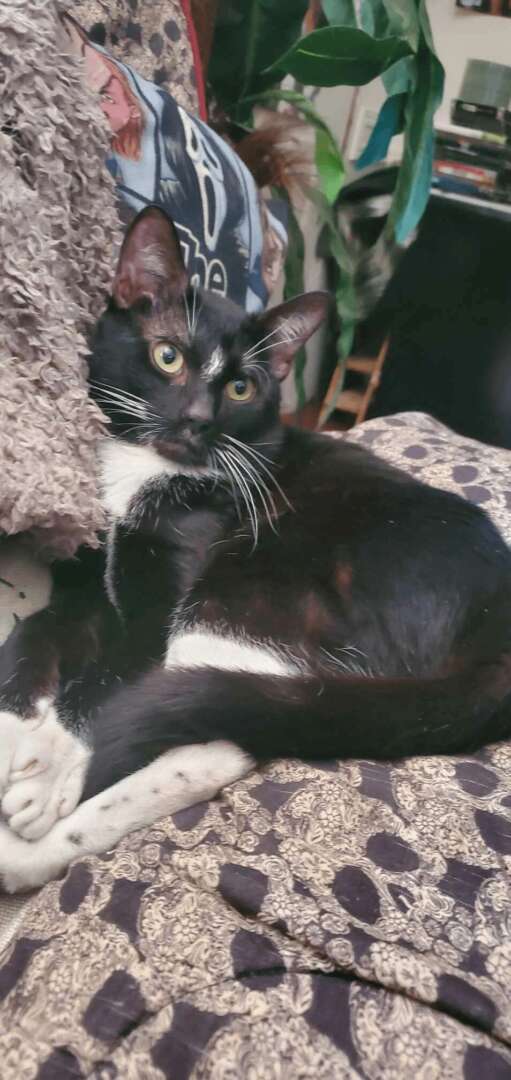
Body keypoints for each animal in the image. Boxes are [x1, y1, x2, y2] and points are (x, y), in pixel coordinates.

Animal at [1, 205, 511, 893]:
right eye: (167, 356)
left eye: (241, 388)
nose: (196, 419)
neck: (140, 468)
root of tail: (496, 626)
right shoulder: (85, 583)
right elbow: (35, 630)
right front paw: (12, 728)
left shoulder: (160, 606)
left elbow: (103, 682)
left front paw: (48, 767)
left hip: (252, 585)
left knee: (213, 738)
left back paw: (28, 853)